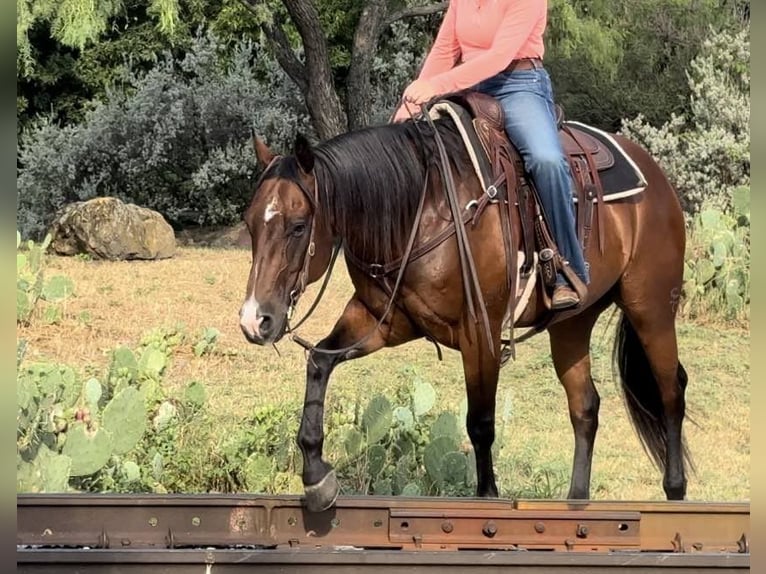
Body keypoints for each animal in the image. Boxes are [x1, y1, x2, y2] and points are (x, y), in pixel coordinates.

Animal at [238, 106, 691, 512]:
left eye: (298, 226)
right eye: (250, 223)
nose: (255, 320)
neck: (418, 211)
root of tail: (656, 176)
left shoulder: (480, 334)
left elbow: (481, 424)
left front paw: (486, 499)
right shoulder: (381, 322)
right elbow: (319, 360)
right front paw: (317, 476)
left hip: (651, 308)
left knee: (670, 391)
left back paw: (676, 492)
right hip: (572, 323)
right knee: (585, 406)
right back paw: (577, 504)